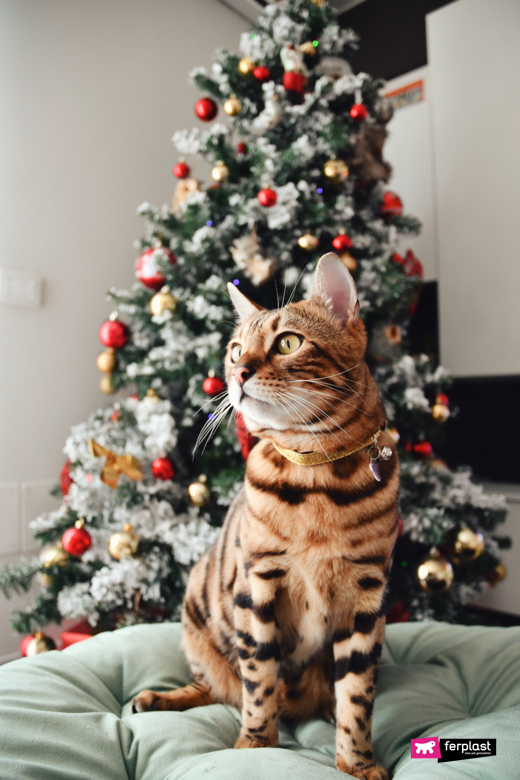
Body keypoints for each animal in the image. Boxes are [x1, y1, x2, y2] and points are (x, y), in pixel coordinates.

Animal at [133, 253, 398, 776]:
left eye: (288, 342)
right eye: (236, 350)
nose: (238, 373)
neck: (317, 479)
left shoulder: (368, 594)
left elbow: (358, 694)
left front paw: (358, 762)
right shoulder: (257, 584)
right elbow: (258, 680)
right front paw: (255, 745)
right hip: (195, 615)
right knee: (216, 687)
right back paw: (158, 698)